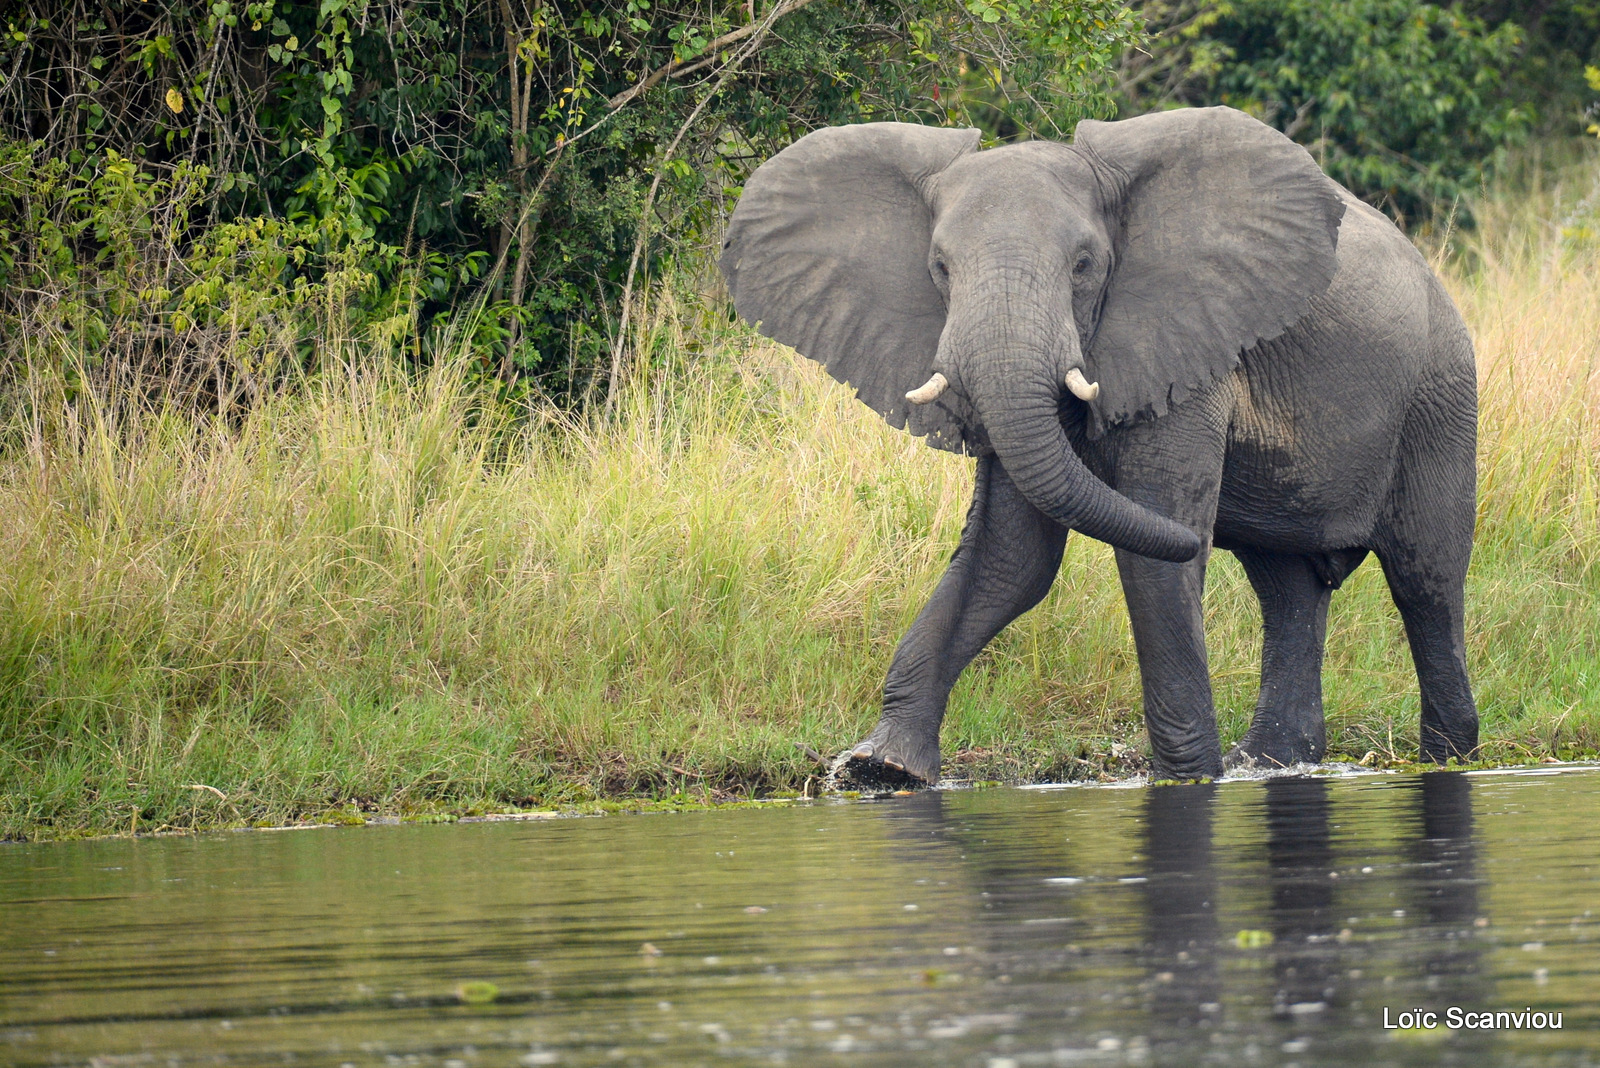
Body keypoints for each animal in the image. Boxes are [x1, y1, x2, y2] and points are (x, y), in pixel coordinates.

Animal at [720, 106, 1478, 783]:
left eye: (1084, 265)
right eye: (939, 267)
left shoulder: (1182, 347)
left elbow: (1153, 555)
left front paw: (1188, 782)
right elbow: (1010, 558)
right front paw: (882, 769)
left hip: (1440, 393)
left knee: (1426, 580)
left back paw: (1449, 759)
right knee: (1288, 589)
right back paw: (1269, 764)